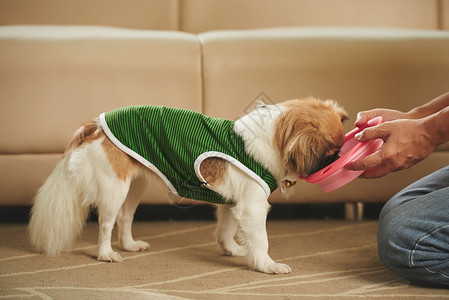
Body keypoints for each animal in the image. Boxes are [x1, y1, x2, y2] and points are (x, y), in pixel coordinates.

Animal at [28, 98, 346, 274]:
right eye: (330, 152)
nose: (341, 157)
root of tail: (96, 124)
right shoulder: (252, 207)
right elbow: (260, 240)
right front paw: (267, 265)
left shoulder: (232, 205)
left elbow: (226, 230)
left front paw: (232, 250)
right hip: (114, 189)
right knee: (106, 224)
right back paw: (106, 254)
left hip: (134, 188)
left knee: (124, 218)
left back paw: (129, 245)